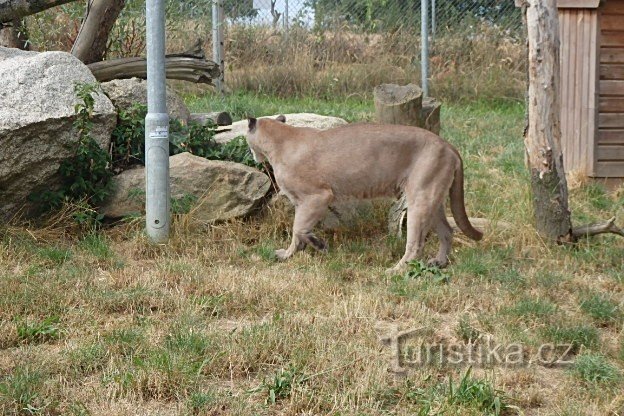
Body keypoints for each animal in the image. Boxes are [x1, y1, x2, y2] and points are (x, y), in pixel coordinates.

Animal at [245, 115, 482, 272]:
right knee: (447, 231)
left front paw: (316, 245)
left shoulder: (317, 197)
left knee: (416, 244)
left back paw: (395, 271)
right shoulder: (302, 202)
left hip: (420, 199)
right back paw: (439, 262)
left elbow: (298, 228)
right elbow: (298, 231)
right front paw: (293, 253)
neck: (280, 138)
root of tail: (448, 145)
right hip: (432, 199)